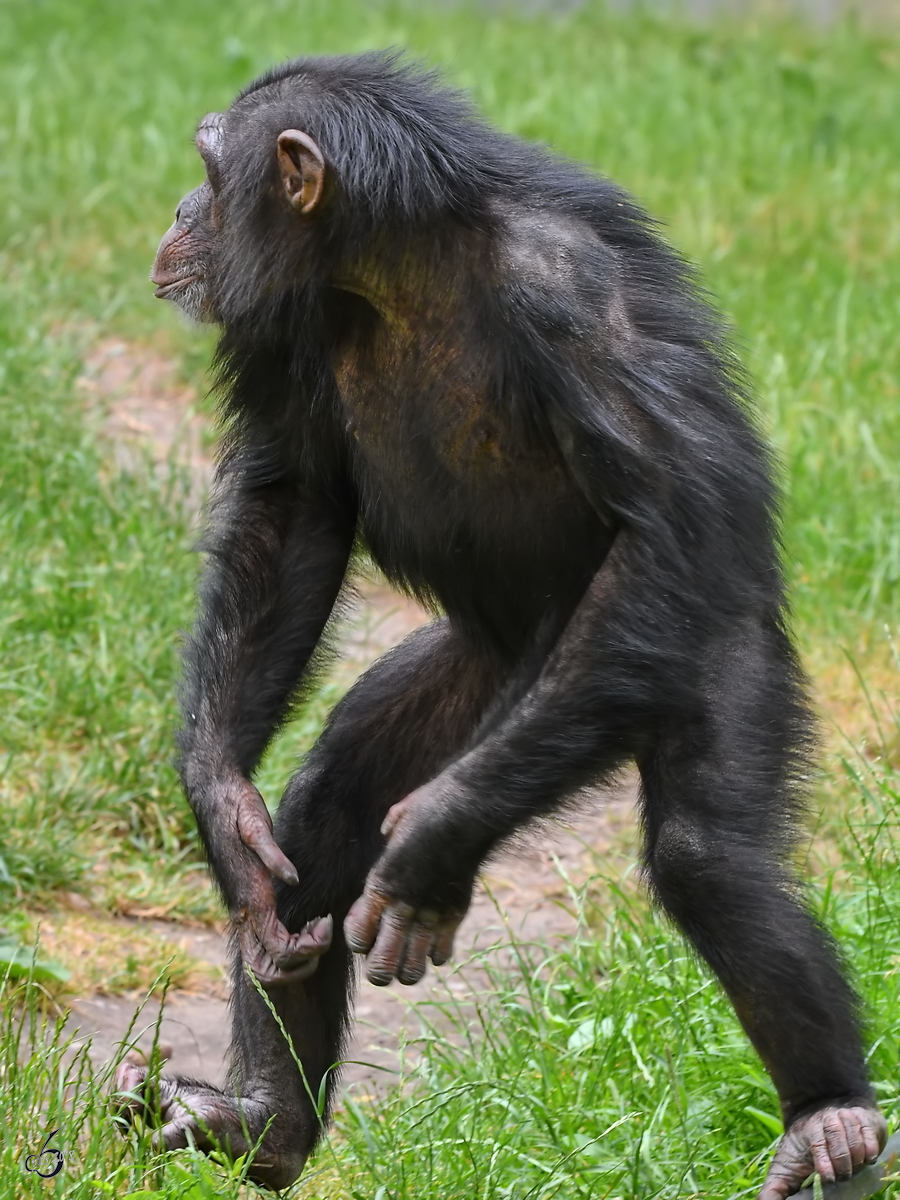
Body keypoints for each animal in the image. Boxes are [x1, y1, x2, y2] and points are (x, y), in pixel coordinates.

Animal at [116, 54, 892, 1200]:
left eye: (210, 173)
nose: (179, 209)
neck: (390, 268)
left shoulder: (574, 297)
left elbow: (655, 517)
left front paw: (432, 847)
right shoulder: (279, 323)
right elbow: (294, 504)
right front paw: (222, 809)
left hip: (695, 648)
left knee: (710, 857)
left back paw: (830, 1118)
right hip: (483, 678)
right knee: (331, 805)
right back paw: (265, 1124)